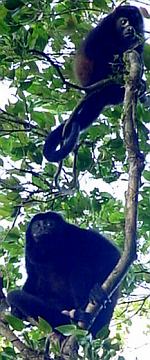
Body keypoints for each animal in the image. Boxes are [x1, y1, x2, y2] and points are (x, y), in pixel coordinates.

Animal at [43, 4, 145, 162]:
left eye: (134, 23)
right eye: (124, 22)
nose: (130, 29)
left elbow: (138, 51)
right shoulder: (102, 31)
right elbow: (95, 51)